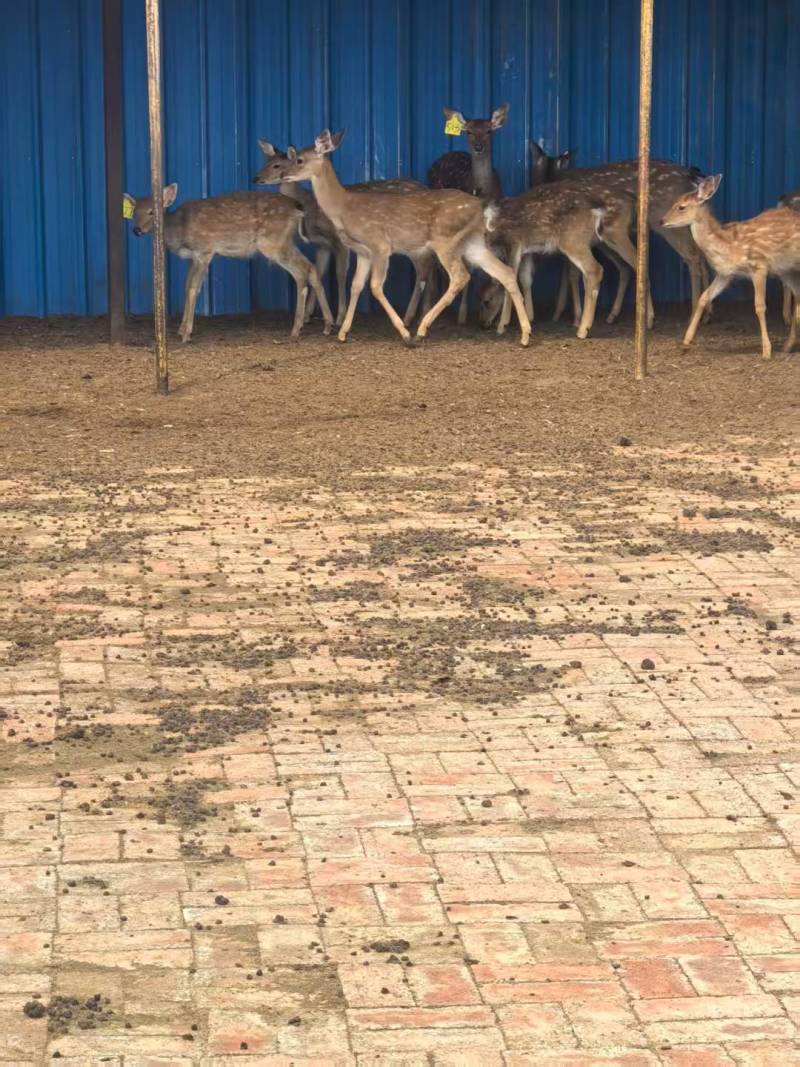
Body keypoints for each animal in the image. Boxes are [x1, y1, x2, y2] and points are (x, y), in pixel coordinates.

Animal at [123, 184, 332, 342]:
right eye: (134, 212)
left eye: (152, 212)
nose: (136, 230)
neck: (179, 229)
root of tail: (298, 209)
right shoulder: (193, 258)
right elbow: (186, 287)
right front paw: (181, 329)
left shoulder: (205, 251)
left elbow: (193, 289)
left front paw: (186, 333)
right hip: (286, 241)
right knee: (312, 268)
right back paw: (327, 325)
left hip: (272, 242)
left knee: (301, 272)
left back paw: (296, 328)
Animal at [254, 141, 431, 327]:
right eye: (265, 162)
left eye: (277, 165)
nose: (256, 178)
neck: (310, 205)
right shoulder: (322, 245)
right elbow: (319, 271)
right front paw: (309, 315)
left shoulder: (339, 241)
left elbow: (340, 273)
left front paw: (339, 317)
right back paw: (422, 314)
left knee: (423, 270)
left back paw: (410, 317)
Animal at [273, 129, 531, 346]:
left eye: (299, 159)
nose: (284, 174)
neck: (344, 207)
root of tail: (482, 207)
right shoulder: (363, 252)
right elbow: (356, 285)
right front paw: (343, 333)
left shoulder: (380, 245)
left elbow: (375, 287)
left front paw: (404, 333)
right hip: (473, 243)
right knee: (505, 272)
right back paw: (525, 335)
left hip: (445, 240)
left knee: (461, 276)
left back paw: (421, 330)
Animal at [661, 174, 800, 359]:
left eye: (681, 207)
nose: (662, 220)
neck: (728, 245)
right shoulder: (725, 274)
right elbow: (703, 298)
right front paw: (685, 343)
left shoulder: (759, 265)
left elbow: (759, 306)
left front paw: (766, 351)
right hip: (787, 271)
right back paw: (788, 345)